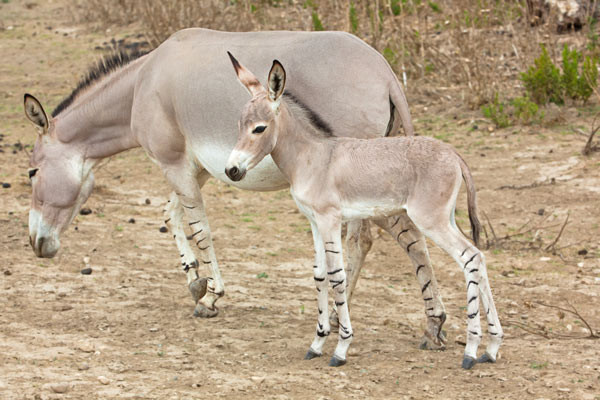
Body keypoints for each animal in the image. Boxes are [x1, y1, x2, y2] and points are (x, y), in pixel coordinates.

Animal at [225, 53, 502, 368]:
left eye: (259, 128)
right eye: (239, 125)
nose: (231, 170)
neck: (313, 157)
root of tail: (454, 153)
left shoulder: (330, 220)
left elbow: (337, 276)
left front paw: (341, 348)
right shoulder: (314, 222)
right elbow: (319, 275)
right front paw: (317, 343)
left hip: (432, 221)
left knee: (471, 258)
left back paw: (471, 350)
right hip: (447, 218)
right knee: (478, 259)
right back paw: (491, 348)